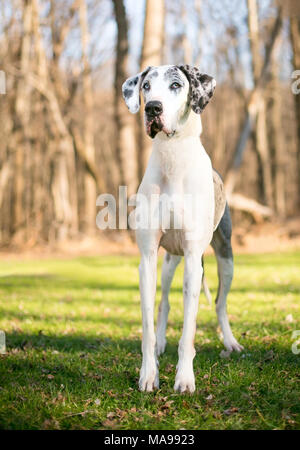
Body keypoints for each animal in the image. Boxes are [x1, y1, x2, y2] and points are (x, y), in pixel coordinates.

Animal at [120, 64, 243, 394]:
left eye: (176, 85)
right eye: (146, 86)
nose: (152, 108)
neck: (172, 157)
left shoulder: (192, 261)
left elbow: (189, 331)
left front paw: (185, 378)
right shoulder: (147, 259)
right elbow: (148, 324)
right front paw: (149, 374)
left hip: (225, 259)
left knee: (220, 304)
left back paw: (230, 342)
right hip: (167, 263)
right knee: (163, 303)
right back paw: (162, 342)